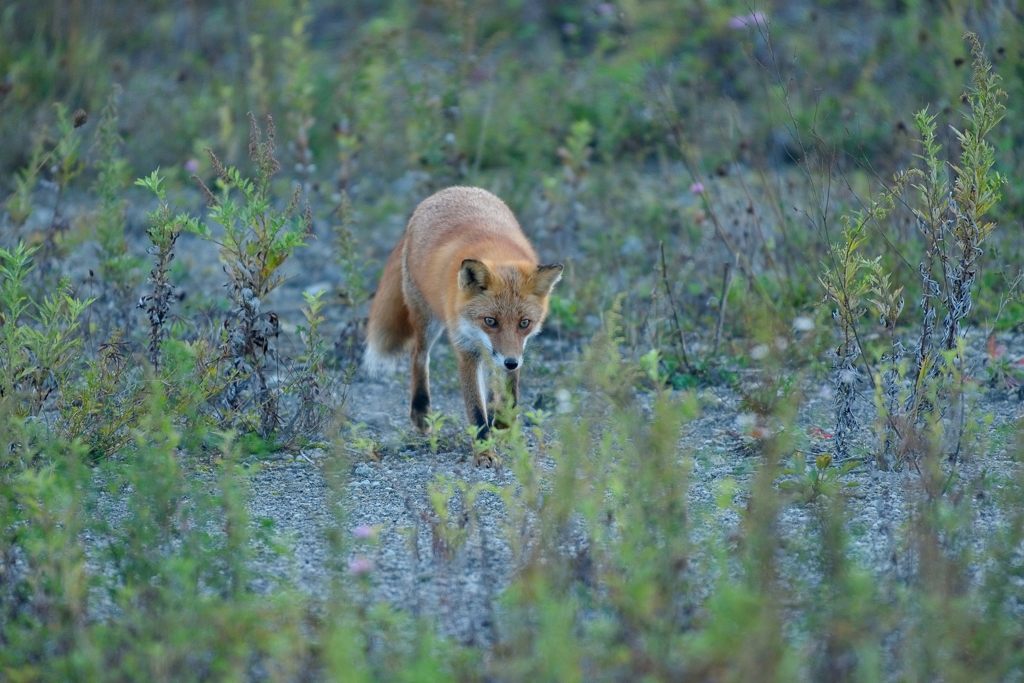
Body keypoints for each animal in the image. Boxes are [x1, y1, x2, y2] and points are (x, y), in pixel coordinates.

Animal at [366, 185, 565, 464]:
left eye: (524, 323)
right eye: (490, 321)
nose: (510, 362)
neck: (497, 254)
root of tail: (447, 191)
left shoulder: (515, 351)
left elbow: (509, 394)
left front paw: (504, 427)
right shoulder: (467, 350)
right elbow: (476, 411)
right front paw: (484, 452)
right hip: (427, 319)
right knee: (418, 356)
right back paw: (421, 412)